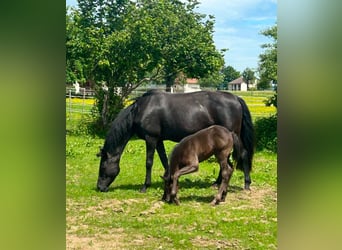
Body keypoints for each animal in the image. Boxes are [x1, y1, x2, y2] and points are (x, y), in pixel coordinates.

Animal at [96, 90, 254, 191]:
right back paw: (217, 183)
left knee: (243, 154)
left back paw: (246, 184)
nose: (100, 187)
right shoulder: (158, 140)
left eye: (103, 167)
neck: (141, 110)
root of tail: (236, 98)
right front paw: (168, 179)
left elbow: (149, 162)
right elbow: (164, 160)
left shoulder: (151, 138)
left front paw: (145, 186)